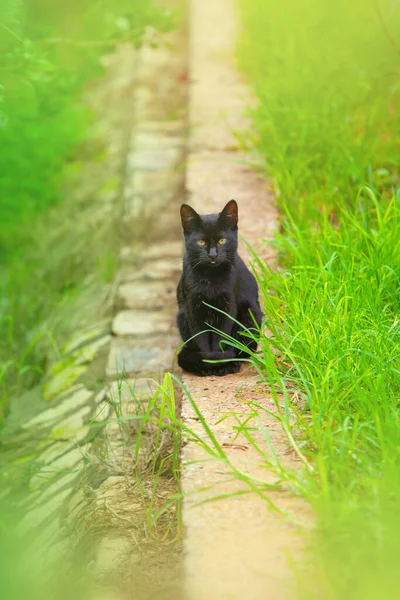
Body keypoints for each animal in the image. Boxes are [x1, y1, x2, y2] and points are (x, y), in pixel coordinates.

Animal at [177, 199, 262, 376]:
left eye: (222, 240)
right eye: (201, 242)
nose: (213, 254)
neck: (211, 279)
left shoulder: (227, 307)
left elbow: (220, 338)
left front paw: (219, 363)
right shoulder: (192, 309)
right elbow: (202, 339)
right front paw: (207, 363)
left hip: (251, 314)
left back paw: (233, 363)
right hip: (181, 316)